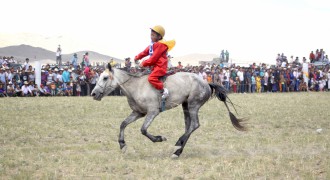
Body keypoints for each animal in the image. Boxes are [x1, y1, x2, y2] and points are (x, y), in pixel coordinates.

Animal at [91, 64, 245, 158]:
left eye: (105, 78)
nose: (93, 93)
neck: (136, 87)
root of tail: (206, 82)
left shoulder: (152, 112)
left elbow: (143, 130)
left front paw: (159, 138)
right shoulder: (138, 113)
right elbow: (123, 124)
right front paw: (122, 145)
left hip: (193, 105)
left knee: (194, 125)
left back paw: (177, 144)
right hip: (185, 106)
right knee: (189, 127)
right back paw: (178, 151)